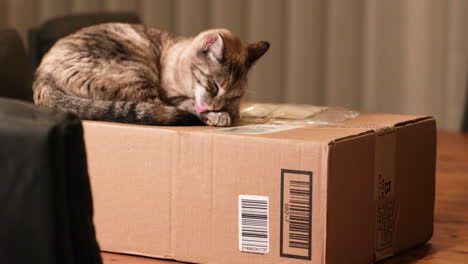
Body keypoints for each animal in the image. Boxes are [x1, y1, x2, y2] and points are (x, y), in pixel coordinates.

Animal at [33, 22, 268, 126]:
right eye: (213, 86)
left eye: (234, 96)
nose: (216, 106)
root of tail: (43, 78)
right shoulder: (174, 97)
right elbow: (191, 105)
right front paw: (218, 115)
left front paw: (229, 112)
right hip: (138, 73)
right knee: (160, 109)